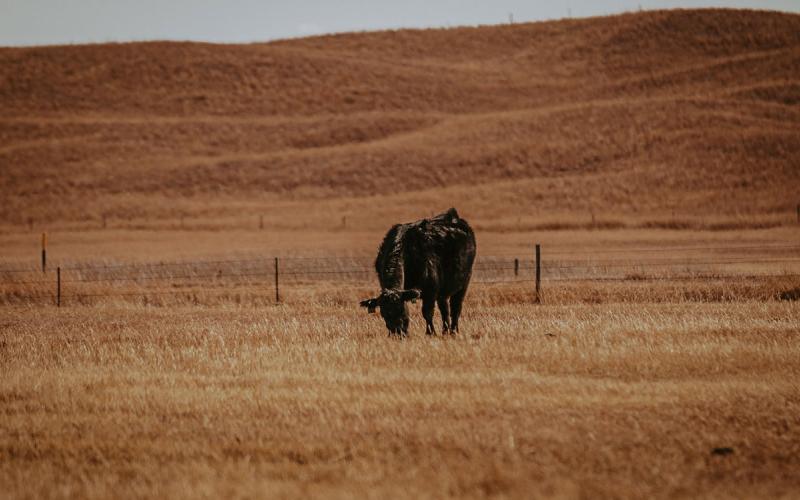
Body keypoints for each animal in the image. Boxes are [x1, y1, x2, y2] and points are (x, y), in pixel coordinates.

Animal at [360, 208, 476, 336]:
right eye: (384, 314)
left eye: (401, 310)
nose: (397, 332)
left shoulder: (430, 291)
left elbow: (427, 313)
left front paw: (430, 333)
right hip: (443, 291)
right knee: (444, 309)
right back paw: (445, 331)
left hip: (465, 281)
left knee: (456, 308)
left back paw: (454, 331)